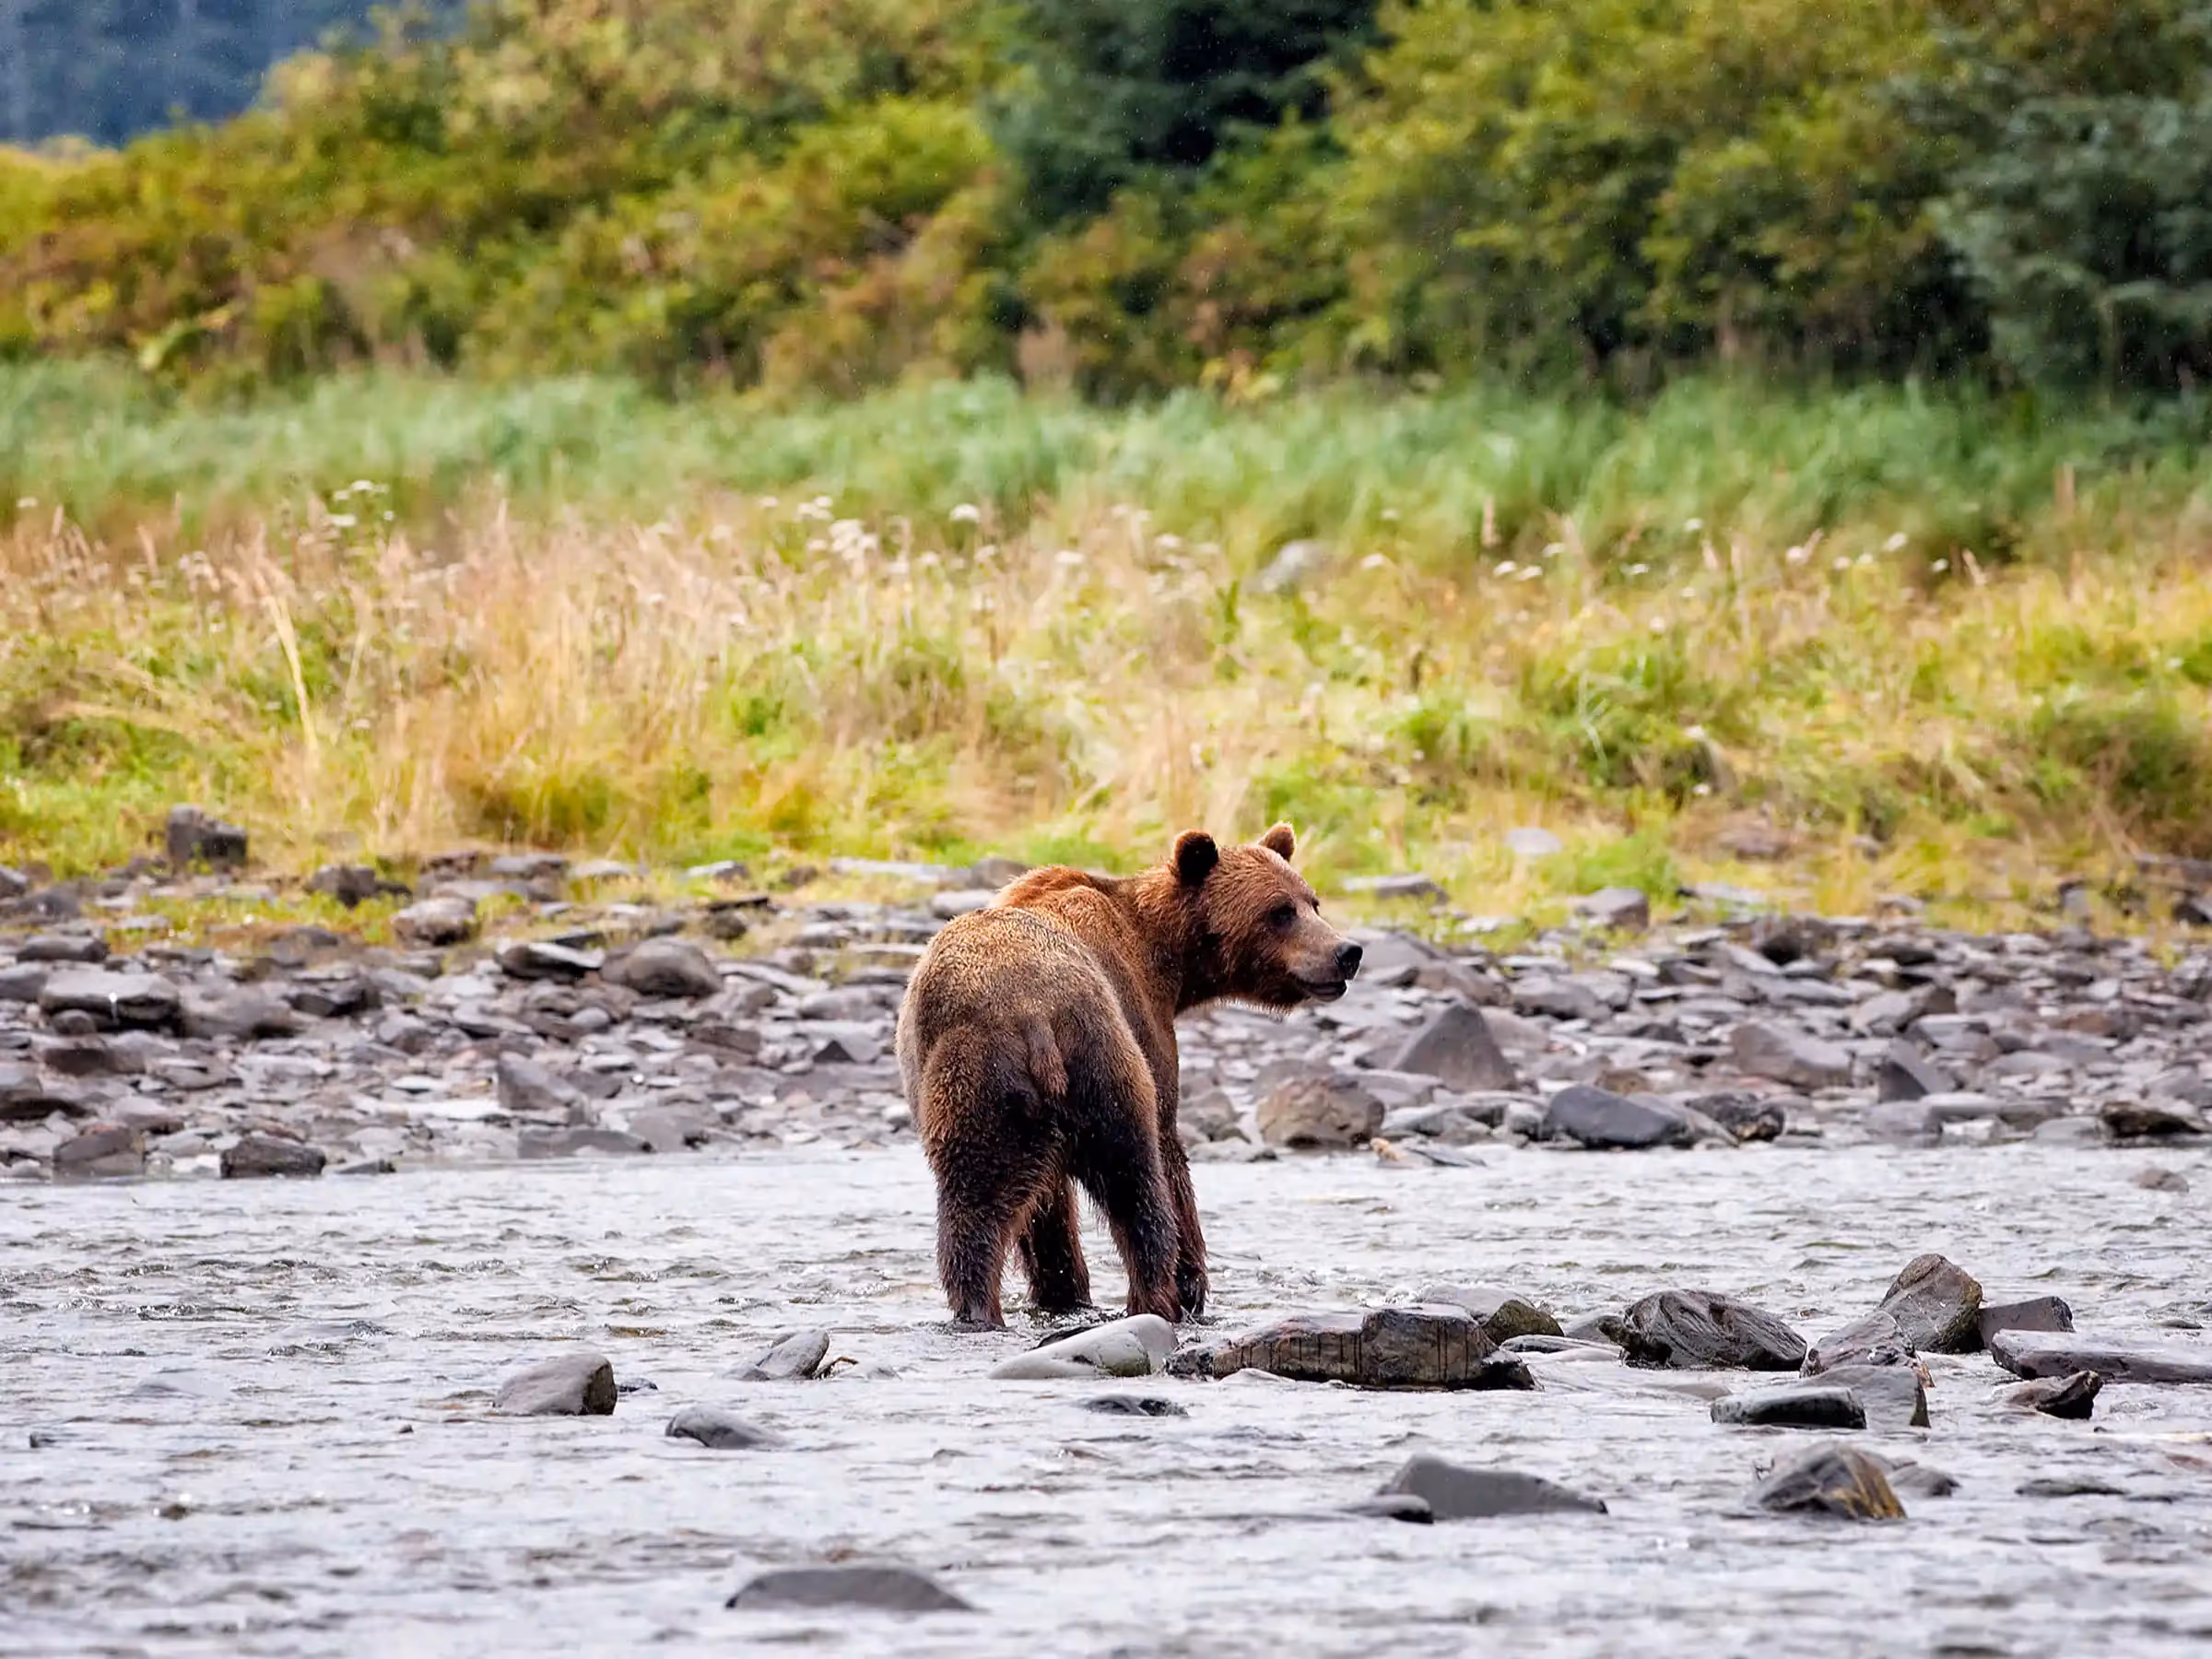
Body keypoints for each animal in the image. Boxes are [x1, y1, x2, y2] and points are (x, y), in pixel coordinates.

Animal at [895, 823, 1363, 1329]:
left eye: (1312, 902)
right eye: (1279, 911)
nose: (1346, 952)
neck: (1166, 958)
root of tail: (1030, 1011)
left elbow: (1046, 1206)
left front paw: (1062, 1290)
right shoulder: (1147, 1023)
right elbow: (1168, 1149)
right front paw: (1191, 1280)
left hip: (975, 1084)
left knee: (973, 1203)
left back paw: (979, 1308)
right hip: (1100, 1058)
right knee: (1134, 1180)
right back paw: (1156, 1297)